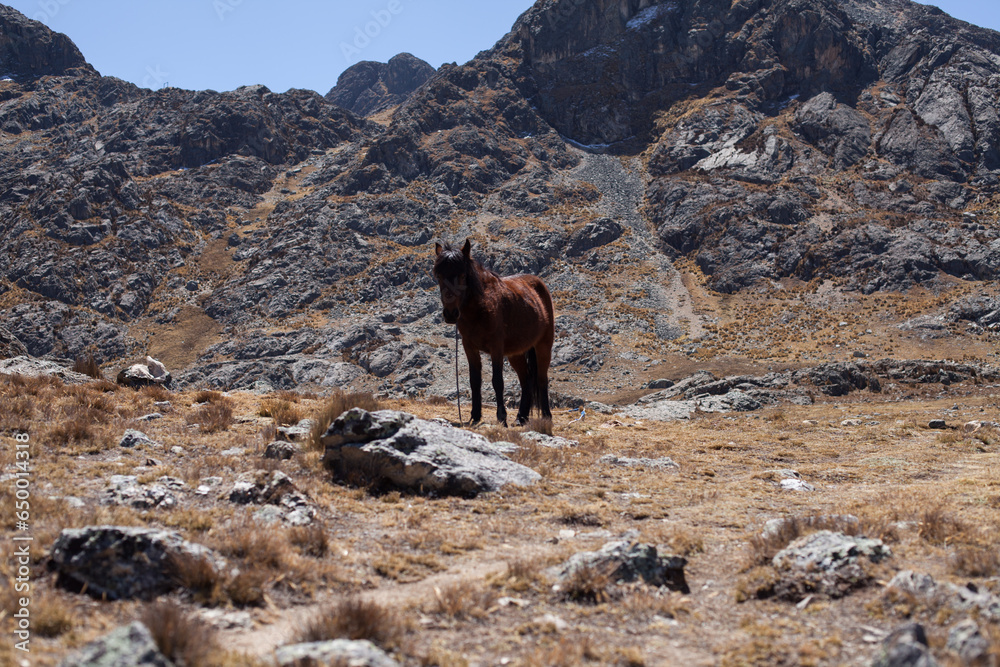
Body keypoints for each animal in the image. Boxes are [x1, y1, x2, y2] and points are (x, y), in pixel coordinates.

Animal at [433, 239, 554, 427]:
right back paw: (521, 418)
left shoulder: (496, 348)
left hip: (543, 346)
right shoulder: (469, 347)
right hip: (516, 353)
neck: (480, 308)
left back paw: (546, 417)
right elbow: (475, 380)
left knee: (542, 379)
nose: (450, 314)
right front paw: (475, 416)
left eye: (462, 275)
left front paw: (501, 418)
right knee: (526, 380)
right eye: (438, 276)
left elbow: (497, 381)